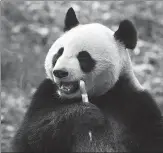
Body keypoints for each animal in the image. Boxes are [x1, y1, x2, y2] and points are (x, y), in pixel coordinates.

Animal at [12, 6, 162, 152]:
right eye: (59, 53)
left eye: (83, 57)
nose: (60, 72)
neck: (99, 97)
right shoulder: (45, 95)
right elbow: (29, 138)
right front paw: (85, 113)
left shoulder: (135, 103)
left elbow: (152, 139)